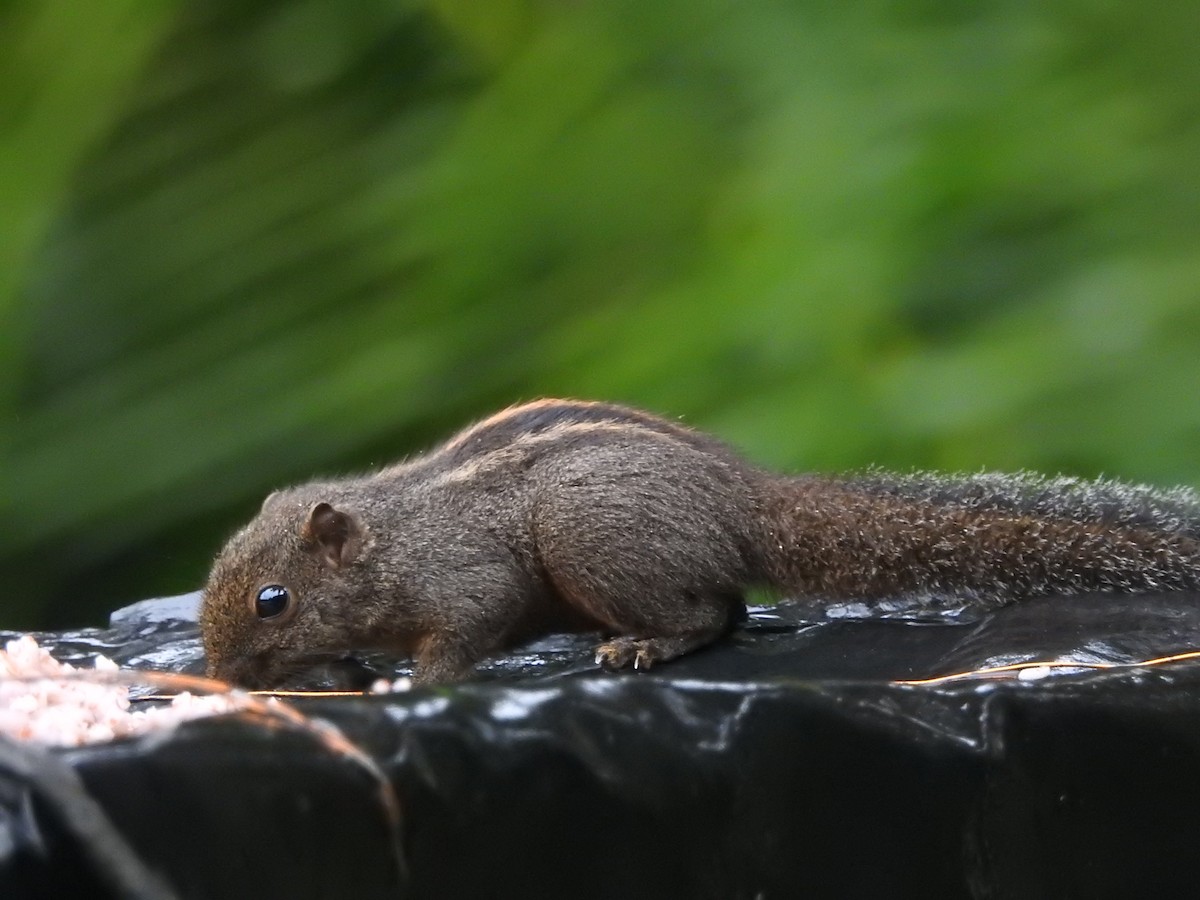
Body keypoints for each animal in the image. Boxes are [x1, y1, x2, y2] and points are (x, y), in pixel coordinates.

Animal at [200, 398, 1200, 687]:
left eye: (272, 600)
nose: (217, 678)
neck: (394, 537)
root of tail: (741, 500)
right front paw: (345, 672)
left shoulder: (462, 578)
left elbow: (465, 630)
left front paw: (412, 684)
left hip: (594, 542)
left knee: (717, 613)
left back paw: (647, 644)